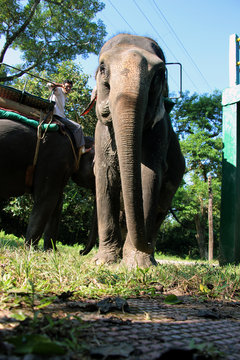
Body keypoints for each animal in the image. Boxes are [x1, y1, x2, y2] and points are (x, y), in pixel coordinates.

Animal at [0, 118, 95, 250]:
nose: (81, 251)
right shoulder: (54, 159)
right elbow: (47, 199)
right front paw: (31, 250)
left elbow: (57, 203)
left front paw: (51, 251)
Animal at [94, 34, 186, 268]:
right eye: (102, 68)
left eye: (159, 73)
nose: (149, 246)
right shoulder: (100, 133)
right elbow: (105, 175)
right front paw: (103, 262)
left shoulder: (160, 131)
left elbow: (149, 177)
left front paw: (137, 265)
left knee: (161, 209)